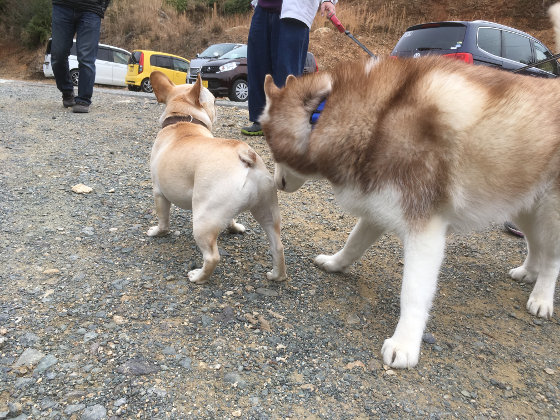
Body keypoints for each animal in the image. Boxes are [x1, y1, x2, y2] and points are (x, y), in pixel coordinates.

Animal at [260, 11, 560, 368]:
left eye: (272, 148)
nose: (276, 183)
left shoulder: (426, 229)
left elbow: (413, 293)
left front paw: (405, 344)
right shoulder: (377, 205)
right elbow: (353, 243)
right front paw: (335, 263)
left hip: (550, 211)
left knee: (553, 256)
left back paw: (542, 297)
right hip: (523, 202)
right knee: (535, 244)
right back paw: (527, 271)